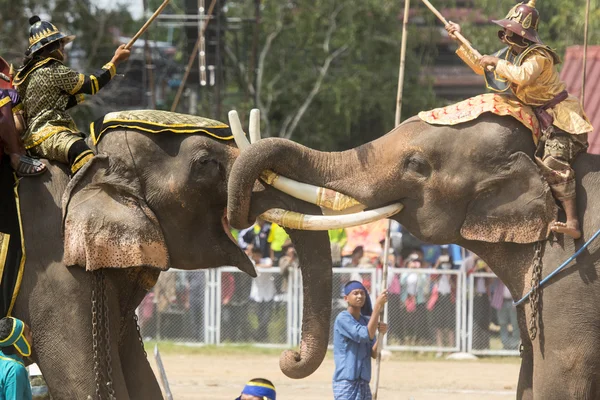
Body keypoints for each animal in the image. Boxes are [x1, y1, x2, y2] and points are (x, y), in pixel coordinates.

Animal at [10, 110, 332, 400]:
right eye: (205, 162)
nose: (290, 357)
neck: (88, 161)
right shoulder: (60, 271)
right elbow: (82, 386)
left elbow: (140, 375)